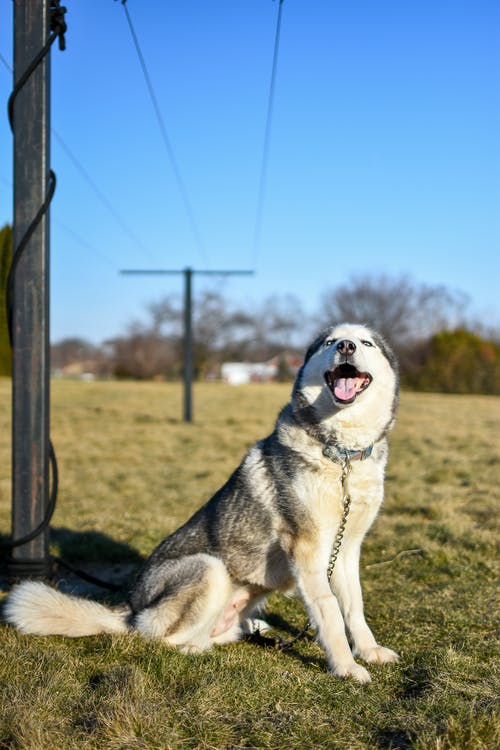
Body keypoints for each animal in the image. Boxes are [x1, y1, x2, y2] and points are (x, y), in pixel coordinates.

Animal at [3, 320, 400, 684]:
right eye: (331, 342)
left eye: (365, 342)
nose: (347, 346)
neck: (342, 454)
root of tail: (130, 607)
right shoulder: (305, 548)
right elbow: (329, 610)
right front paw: (346, 667)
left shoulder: (346, 549)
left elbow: (354, 606)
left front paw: (369, 651)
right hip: (208, 569)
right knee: (159, 639)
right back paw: (192, 647)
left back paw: (249, 629)